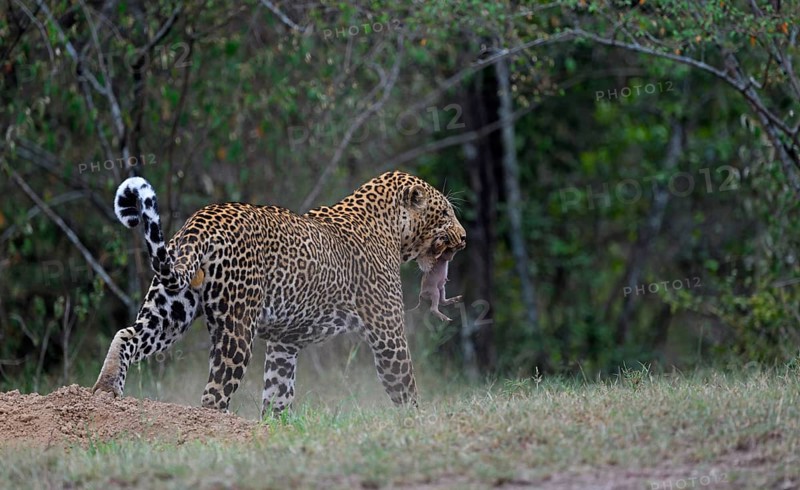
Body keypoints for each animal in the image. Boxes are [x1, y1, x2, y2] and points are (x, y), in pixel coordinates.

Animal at [92, 170, 467, 417]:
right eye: (446, 212)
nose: (464, 238)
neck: (390, 227)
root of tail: (202, 219)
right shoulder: (388, 333)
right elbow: (404, 385)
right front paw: (418, 423)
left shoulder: (284, 343)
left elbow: (278, 391)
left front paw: (275, 428)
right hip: (236, 329)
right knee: (214, 394)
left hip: (171, 308)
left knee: (126, 333)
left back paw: (105, 391)